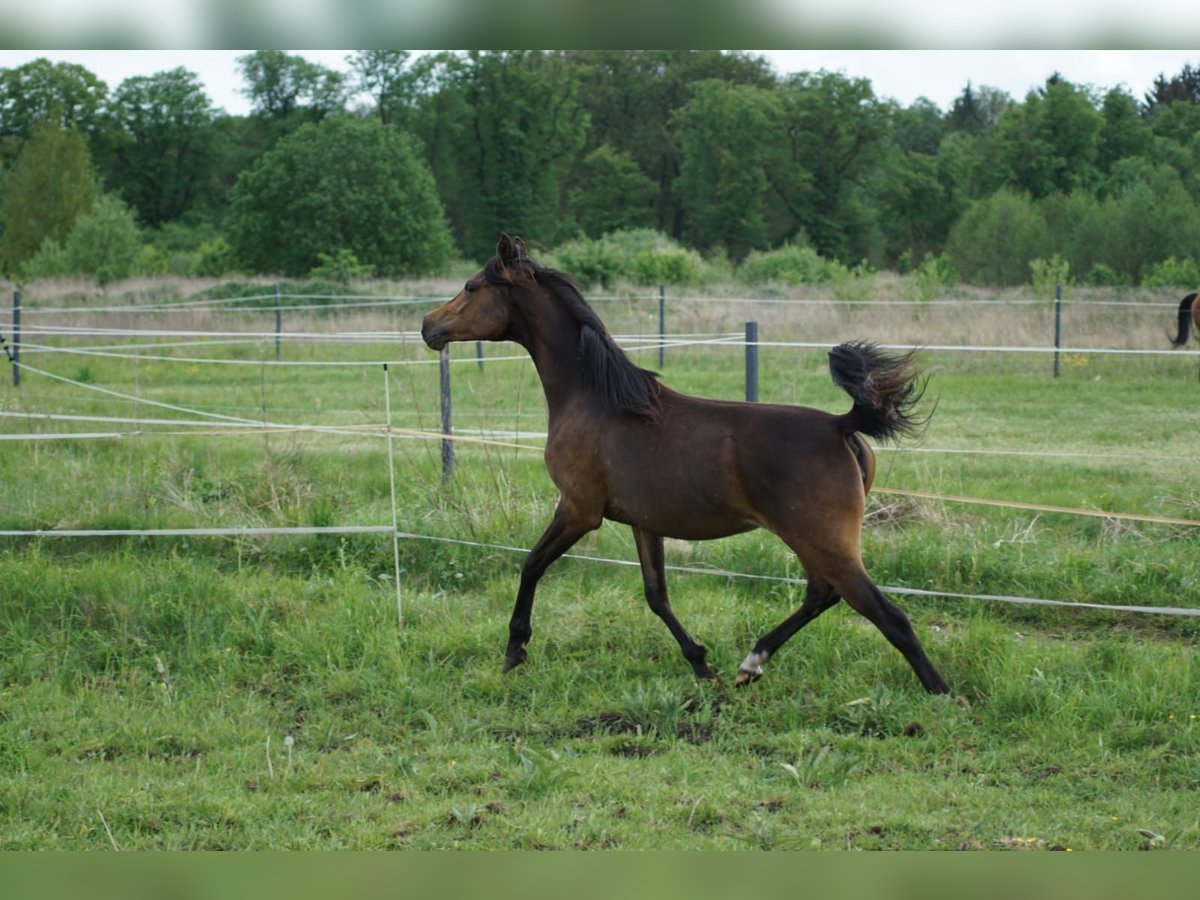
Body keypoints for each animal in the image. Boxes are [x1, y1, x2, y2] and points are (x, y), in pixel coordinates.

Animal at [422, 236, 945, 696]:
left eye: (471, 286)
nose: (429, 326)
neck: (595, 400)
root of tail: (841, 425)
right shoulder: (643, 521)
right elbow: (657, 596)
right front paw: (701, 664)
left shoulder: (578, 509)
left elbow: (531, 564)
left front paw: (514, 650)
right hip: (816, 541)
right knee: (822, 595)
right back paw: (749, 665)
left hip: (822, 539)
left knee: (884, 614)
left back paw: (940, 692)